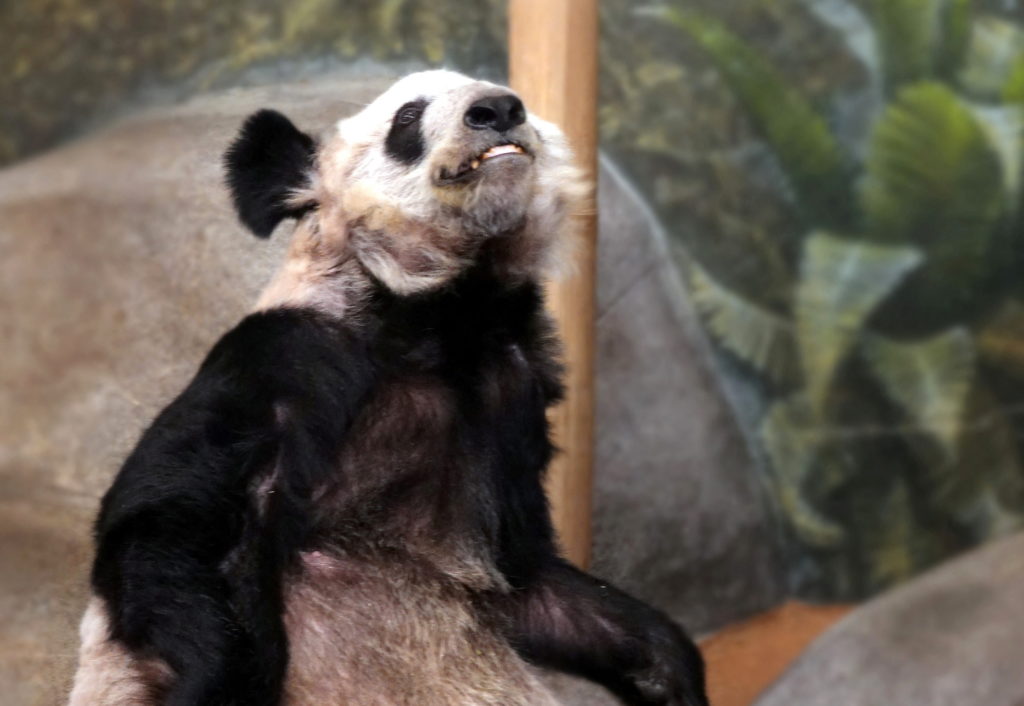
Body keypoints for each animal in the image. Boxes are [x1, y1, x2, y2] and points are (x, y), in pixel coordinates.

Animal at [70, 67, 704, 704]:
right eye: (408, 116)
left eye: (509, 95)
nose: (498, 109)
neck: (439, 311)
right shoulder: (289, 354)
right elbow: (169, 512)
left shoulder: (506, 403)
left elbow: (535, 578)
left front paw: (668, 670)